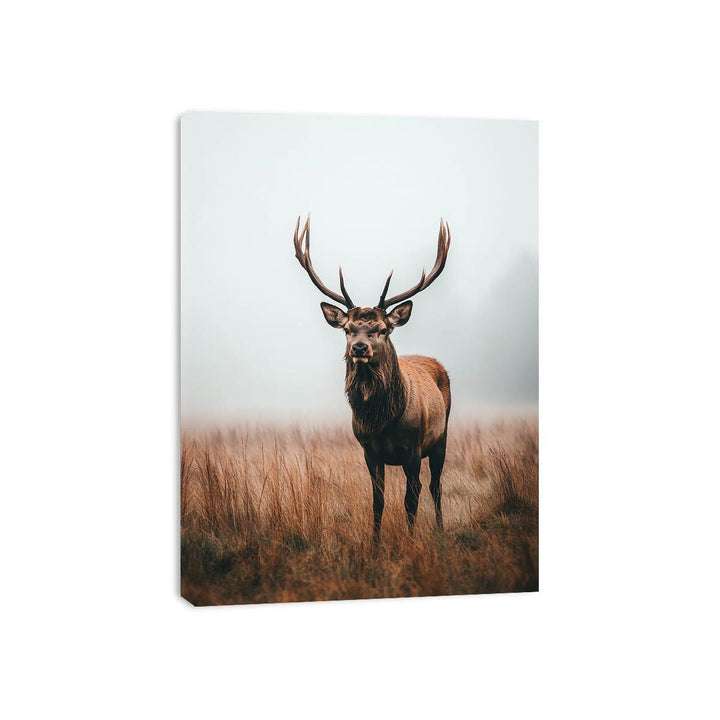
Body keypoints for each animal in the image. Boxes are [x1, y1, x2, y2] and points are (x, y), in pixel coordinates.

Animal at [293, 216, 452, 542]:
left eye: (382, 329)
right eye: (348, 329)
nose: (359, 348)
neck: (382, 421)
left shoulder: (413, 449)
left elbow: (411, 498)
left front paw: (411, 541)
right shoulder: (368, 450)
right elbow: (378, 500)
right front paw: (375, 543)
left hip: (441, 437)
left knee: (435, 486)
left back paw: (441, 528)